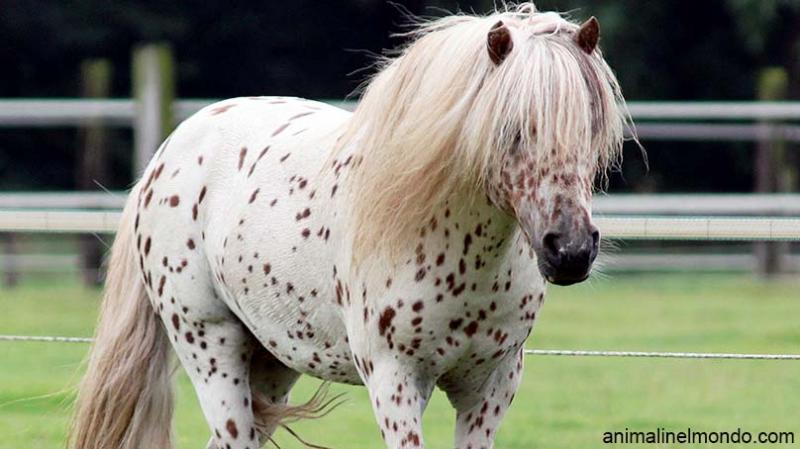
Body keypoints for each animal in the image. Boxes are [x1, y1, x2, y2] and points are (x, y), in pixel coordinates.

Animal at [70, 4, 630, 449]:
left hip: (272, 360)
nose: (570, 250)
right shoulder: (395, 381)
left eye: (592, 125)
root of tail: (167, 154)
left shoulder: (491, 386)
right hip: (210, 346)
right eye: (511, 128)